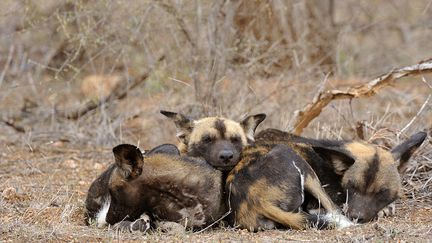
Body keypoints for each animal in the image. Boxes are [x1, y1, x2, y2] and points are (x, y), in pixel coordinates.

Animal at [160, 111, 352, 231]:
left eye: (235, 139)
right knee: (335, 211)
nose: (226, 156)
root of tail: (259, 200)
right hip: (299, 164)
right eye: (207, 140)